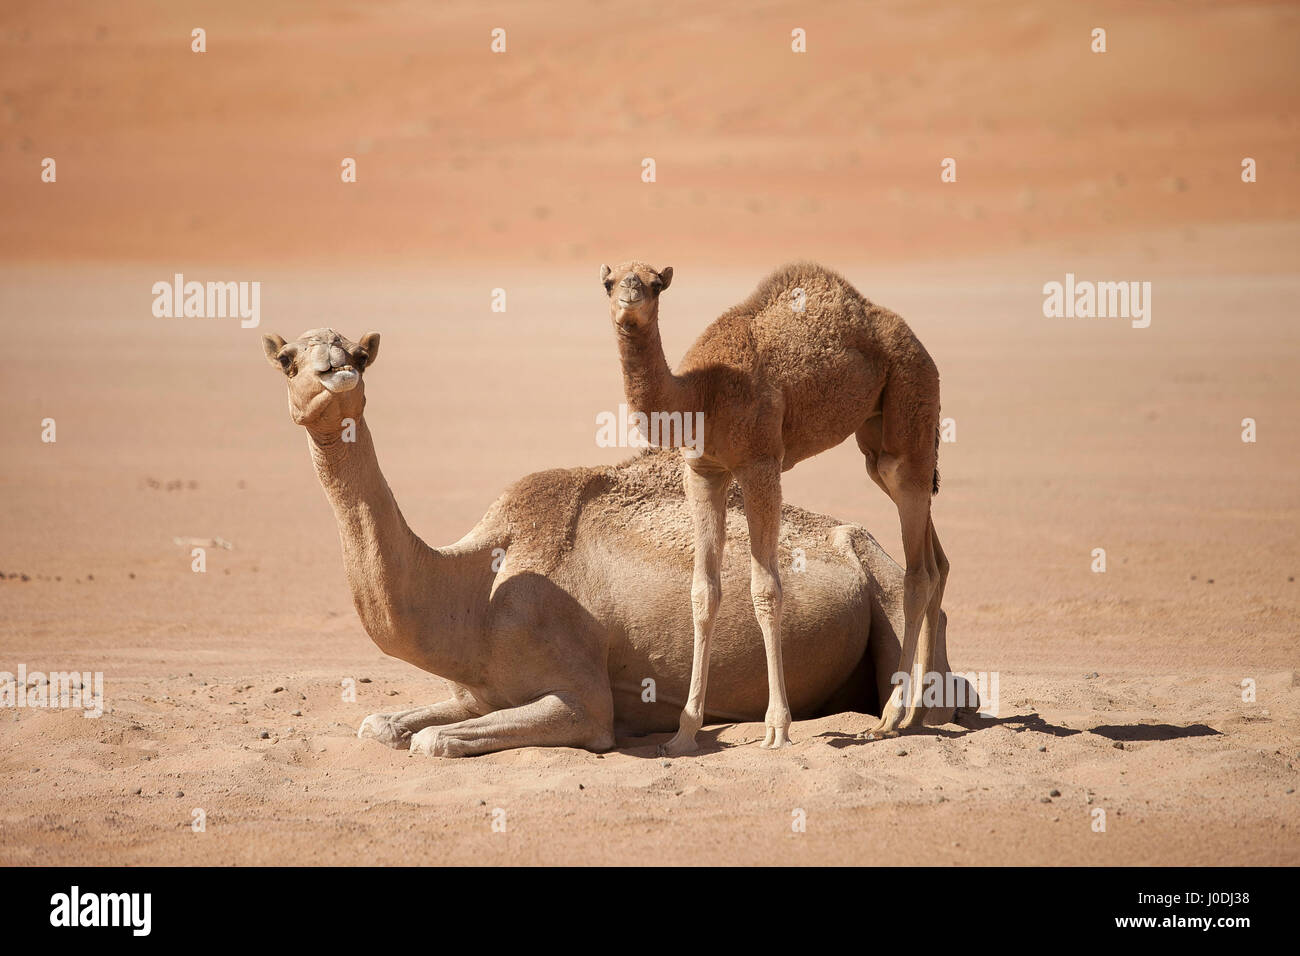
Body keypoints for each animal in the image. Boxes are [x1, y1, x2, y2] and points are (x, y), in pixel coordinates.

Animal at [261, 332, 967, 759]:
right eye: (288, 358)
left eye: (359, 353)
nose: (334, 370)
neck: (476, 592)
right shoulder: (476, 691)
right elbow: (382, 724)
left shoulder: (583, 699)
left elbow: (434, 741)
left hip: (887, 590)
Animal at [603, 261, 951, 754]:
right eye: (610, 282)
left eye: (654, 283)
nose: (630, 294)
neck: (700, 393)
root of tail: (912, 338)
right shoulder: (703, 471)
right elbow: (703, 592)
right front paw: (683, 735)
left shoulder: (761, 463)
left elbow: (766, 589)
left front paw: (777, 728)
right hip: (877, 440)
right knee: (936, 560)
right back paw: (916, 715)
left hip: (911, 398)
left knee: (917, 570)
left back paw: (888, 719)